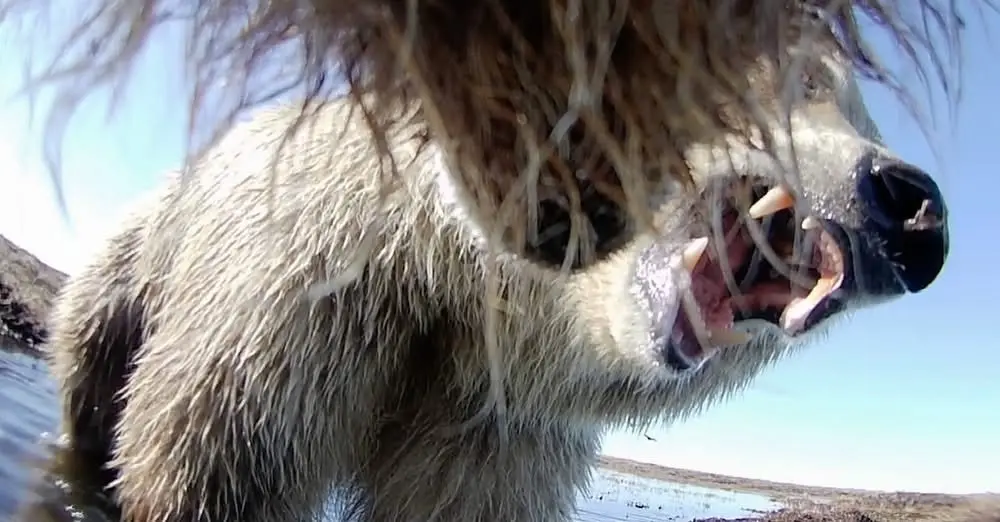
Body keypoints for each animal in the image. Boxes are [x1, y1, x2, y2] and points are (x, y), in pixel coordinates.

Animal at [2, 0, 961, 521]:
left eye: (863, 110)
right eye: (813, 79)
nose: (916, 211)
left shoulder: (495, 425)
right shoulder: (302, 303)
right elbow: (212, 467)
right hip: (137, 260)